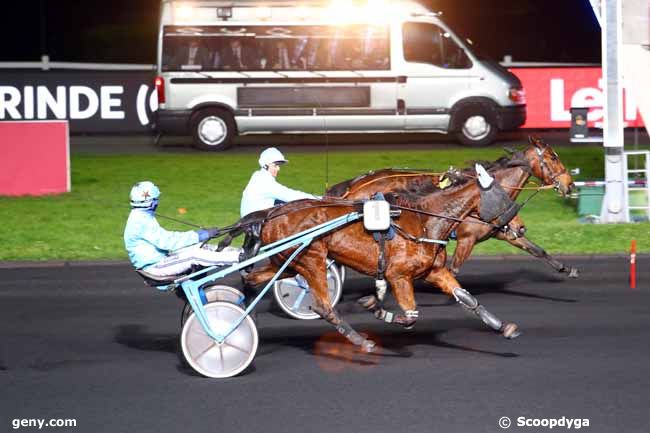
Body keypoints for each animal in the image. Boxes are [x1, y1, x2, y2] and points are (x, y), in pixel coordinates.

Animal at [244, 173, 520, 352]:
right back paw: (361, 341)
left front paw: (504, 327)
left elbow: (468, 299)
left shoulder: (434, 271)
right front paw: (373, 306)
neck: (425, 222)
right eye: (503, 196)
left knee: (252, 278)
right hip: (311, 260)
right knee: (324, 307)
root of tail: (272, 213)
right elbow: (410, 316)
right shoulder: (398, 275)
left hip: (286, 263)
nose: (519, 227)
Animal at [326, 136, 576, 276]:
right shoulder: (467, 239)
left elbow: (536, 249)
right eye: (553, 157)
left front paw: (567, 268)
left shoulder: (501, 231)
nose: (569, 184)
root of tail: (355, 184)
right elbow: (453, 269)